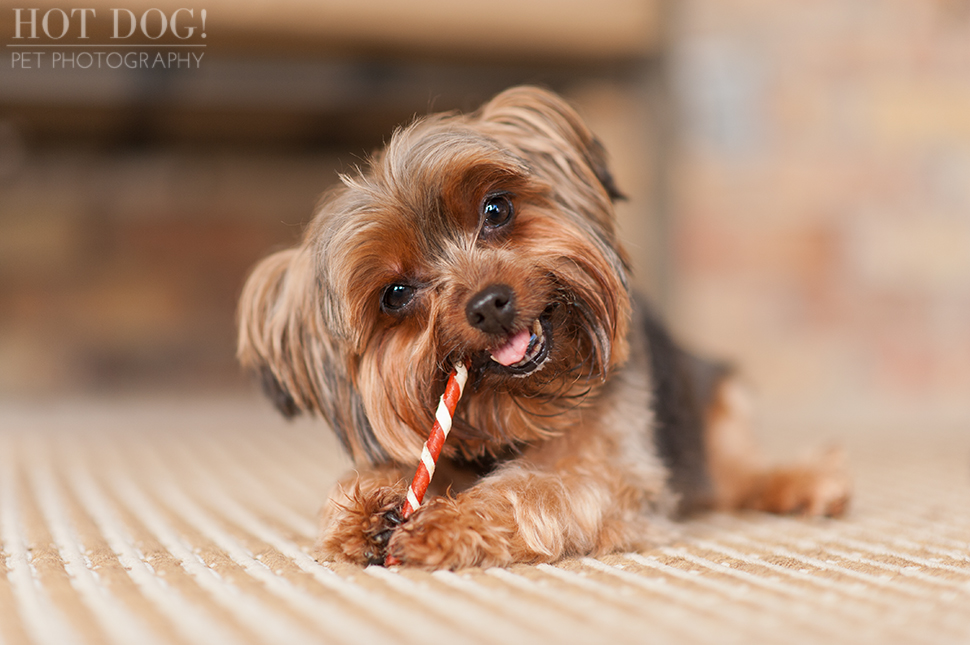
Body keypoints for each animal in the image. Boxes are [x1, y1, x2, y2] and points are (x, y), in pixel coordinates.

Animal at [238, 84, 852, 568]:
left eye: (496, 209)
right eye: (395, 294)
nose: (488, 304)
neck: (519, 403)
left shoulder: (605, 474)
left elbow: (533, 492)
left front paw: (441, 524)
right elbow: (363, 483)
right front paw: (365, 509)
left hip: (717, 401)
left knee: (734, 472)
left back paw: (803, 484)